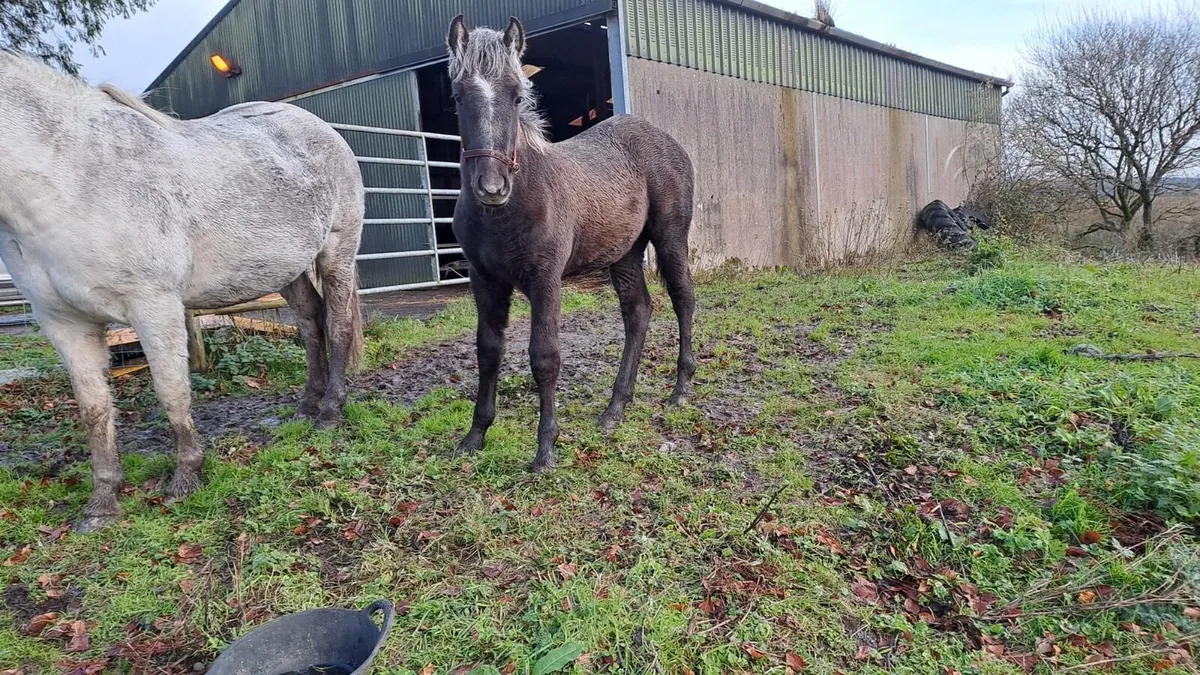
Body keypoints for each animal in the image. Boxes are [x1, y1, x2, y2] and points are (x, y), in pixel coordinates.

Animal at [0, 51, 365, 531]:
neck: (70, 180)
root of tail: (319, 127)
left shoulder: (154, 306)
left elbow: (172, 391)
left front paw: (185, 479)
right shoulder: (64, 322)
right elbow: (94, 410)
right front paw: (103, 503)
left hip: (336, 251)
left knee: (337, 324)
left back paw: (329, 412)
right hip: (285, 268)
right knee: (310, 321)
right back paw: (306, 406)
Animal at [445, 15, 697, 472]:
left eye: (517, 95)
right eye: (457, 95)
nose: (492, 187)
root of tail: (664, 137)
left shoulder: (546, 278)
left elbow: (545, 356)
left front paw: (545, 449)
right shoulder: (484, 280)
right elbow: (488, 350)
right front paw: (475, 435)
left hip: (670, 236)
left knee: (683, 298)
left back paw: (680, 390)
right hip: (625, 253)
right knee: (638, 311)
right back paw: (616, 408)